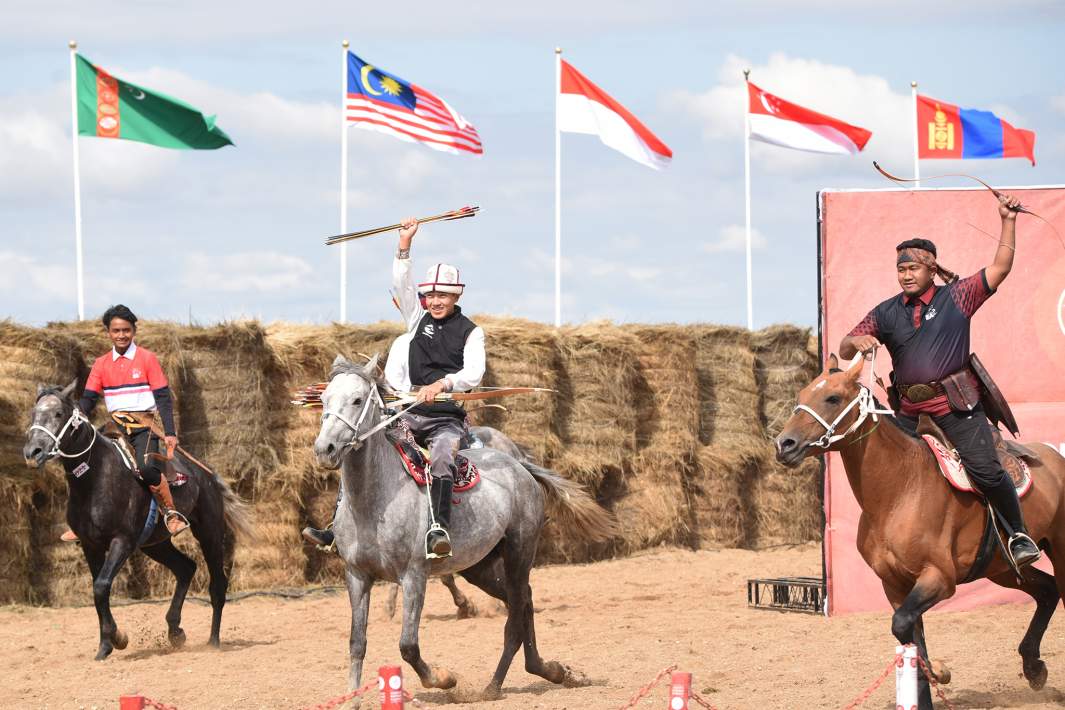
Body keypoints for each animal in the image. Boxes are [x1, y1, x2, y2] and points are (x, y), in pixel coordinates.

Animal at [23, 383, 252, 659]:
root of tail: (206, 473)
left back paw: (213, 641)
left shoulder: (121, 541)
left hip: (209, 531)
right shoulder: (91, 545)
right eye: (34, 413)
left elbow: (101, 586)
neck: (95, 478)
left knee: (217, 585)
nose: (32, 452)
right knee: (186, 568)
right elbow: (98, 590)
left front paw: (116, 639)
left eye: (58, 413)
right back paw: (175, 631)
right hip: (155, 544)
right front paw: (106, 645)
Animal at [313, 353, 617, 698]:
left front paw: (444, 679)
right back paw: (549, 670)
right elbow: (357, 643)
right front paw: (351, 699)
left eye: (357, 399)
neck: (375, 500)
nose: (324, 449)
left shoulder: (413, 575)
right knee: (523, 603)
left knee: (517, 610)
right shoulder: (357, 576)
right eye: (324, 398)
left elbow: (408, 646)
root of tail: (520, 466)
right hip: (480, 567)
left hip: (519, 553)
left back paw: (495, 685)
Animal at [775, 355, 1065, 710]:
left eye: (833, 398)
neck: (900, 491)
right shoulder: (895, 585)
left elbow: (903, 626)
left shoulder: (938, 578)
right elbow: (910, 634)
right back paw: (1033, 666)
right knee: (1048, 591)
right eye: (802, 395)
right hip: (1002, 569)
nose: (784, 444)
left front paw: (938, 670)